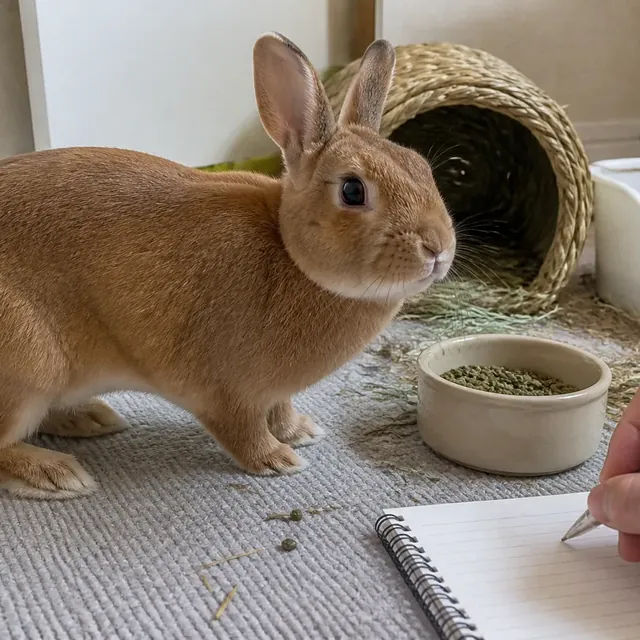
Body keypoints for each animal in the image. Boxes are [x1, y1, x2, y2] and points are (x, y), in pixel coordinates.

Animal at [0, 33, 455, 499]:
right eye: (352, 190)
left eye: (422, 167)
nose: (438, 249)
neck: (290, 254)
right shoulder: (226, 392)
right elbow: (242, 430)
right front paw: (278, 459)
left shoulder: (273, 392)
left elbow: (280, 409)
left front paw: (300, 431)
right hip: (29, 370)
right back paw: (57, 474)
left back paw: (91, 418)